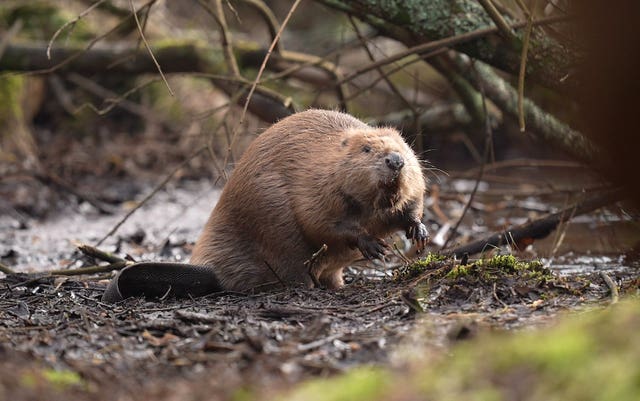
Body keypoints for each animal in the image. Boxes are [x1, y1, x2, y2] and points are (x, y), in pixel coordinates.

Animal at [102, 109, 428, 300]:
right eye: (367, 149)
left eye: (402, 148)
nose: (395, 161)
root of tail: (213, 272)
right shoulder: (314, 184)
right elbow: (323, 222)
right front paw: (374, 246)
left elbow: (412, 204)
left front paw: (419, 232)